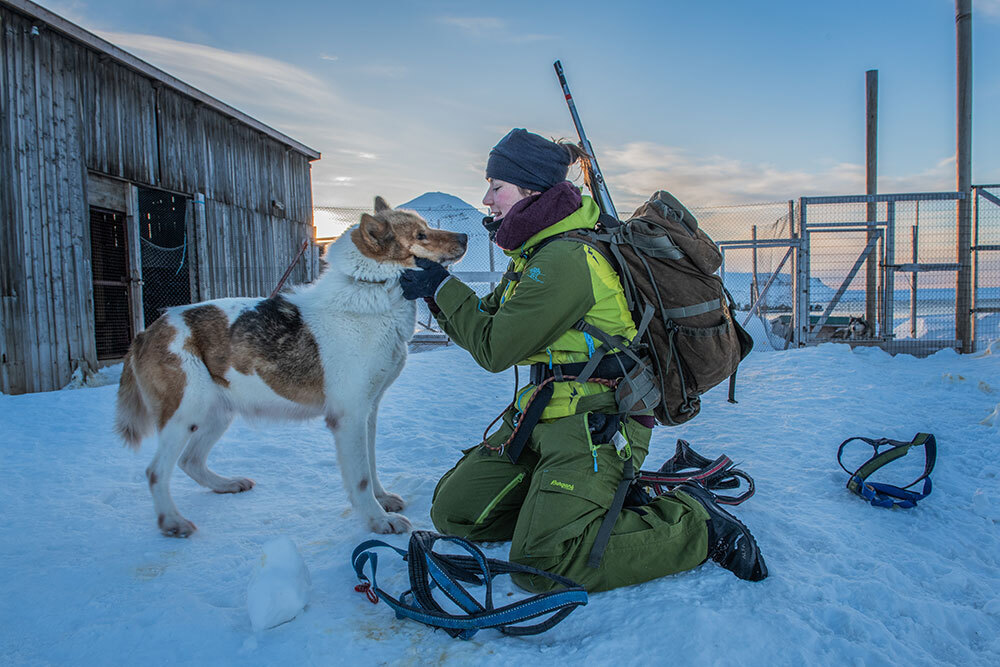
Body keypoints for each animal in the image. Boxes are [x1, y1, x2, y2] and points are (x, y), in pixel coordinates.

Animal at [114, 198, 468, 536]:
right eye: (421, 235)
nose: (466, 236)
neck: (371, 286)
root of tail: (148, 330)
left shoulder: (369, 412)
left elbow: (371, 465)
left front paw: (381, 501)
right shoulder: (350, 416)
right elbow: (361, 478)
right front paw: (377, 520)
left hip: (217, 413)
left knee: (191, 461)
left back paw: (225, 485)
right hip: (185, 414)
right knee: (156, 471)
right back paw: (172, 521)